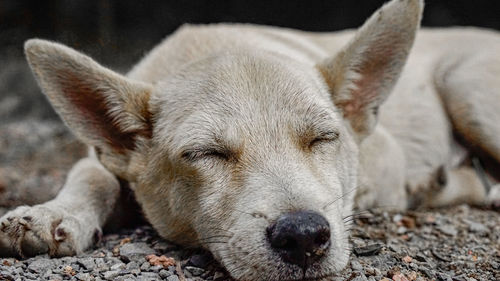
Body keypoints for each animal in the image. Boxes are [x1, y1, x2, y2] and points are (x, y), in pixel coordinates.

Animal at [0, 0, 500, 278]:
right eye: (206, 153)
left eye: (323, 138)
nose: (304, 236)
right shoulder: (102, 156)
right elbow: (93, 175)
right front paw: (51, 214)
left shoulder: (384, 154)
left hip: (467, 90)